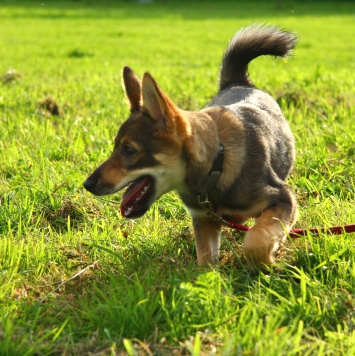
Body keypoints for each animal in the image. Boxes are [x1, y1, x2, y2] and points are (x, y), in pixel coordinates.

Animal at [85, 24, 298, 268]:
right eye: (114, 148)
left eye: (129, 151)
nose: (87, 184)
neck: (217, 163)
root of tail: (239, 82)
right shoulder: (203, 219)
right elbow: (206, 262)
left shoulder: (283, 199)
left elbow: (256, 241)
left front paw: (269, 261)